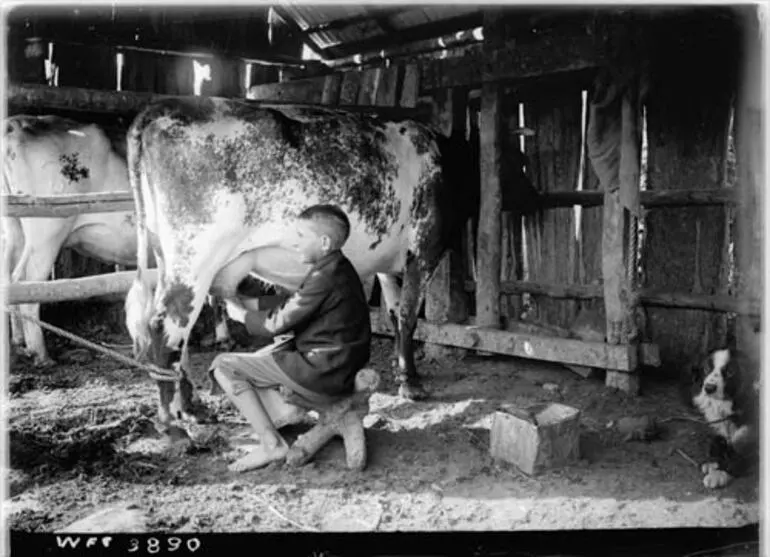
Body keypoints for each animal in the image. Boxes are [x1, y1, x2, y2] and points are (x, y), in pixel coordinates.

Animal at [123, 97, 536, 424]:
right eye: (517, 159)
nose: (535, 197)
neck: (444, 161)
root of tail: (164, 107)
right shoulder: (424, 249)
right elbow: (407, 316)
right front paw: (412, 383)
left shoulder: (388, 263)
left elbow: (392, 313)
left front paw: (399, 368)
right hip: (194, 258)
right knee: (164, 329)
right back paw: (174, 416)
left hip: (171, 258)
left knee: (176, 333)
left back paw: (189, 405)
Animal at [688, 348, 760, 486]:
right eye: (706, 368)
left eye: (731, 372)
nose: (709, 388)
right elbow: (719, 440)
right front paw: (714, 463)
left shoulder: (749, 431)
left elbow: (740, 448)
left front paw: (721, 473)